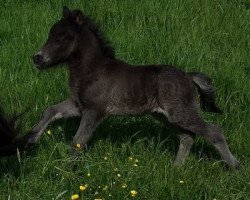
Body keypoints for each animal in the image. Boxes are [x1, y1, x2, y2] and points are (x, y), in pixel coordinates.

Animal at [30, 6, 239, 167]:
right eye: (50, 35)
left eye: (63, 37)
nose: (37, 58)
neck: (92, 69)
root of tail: (188, 76)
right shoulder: (79, 105)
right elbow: (51, 111)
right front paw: (30, 139)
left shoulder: (94, 110)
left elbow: (77, 142)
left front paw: (67, 172)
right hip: (165, 116)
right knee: (188, 137)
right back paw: (176, 169)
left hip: (180, 112)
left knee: (213, 131)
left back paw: (235, 167)